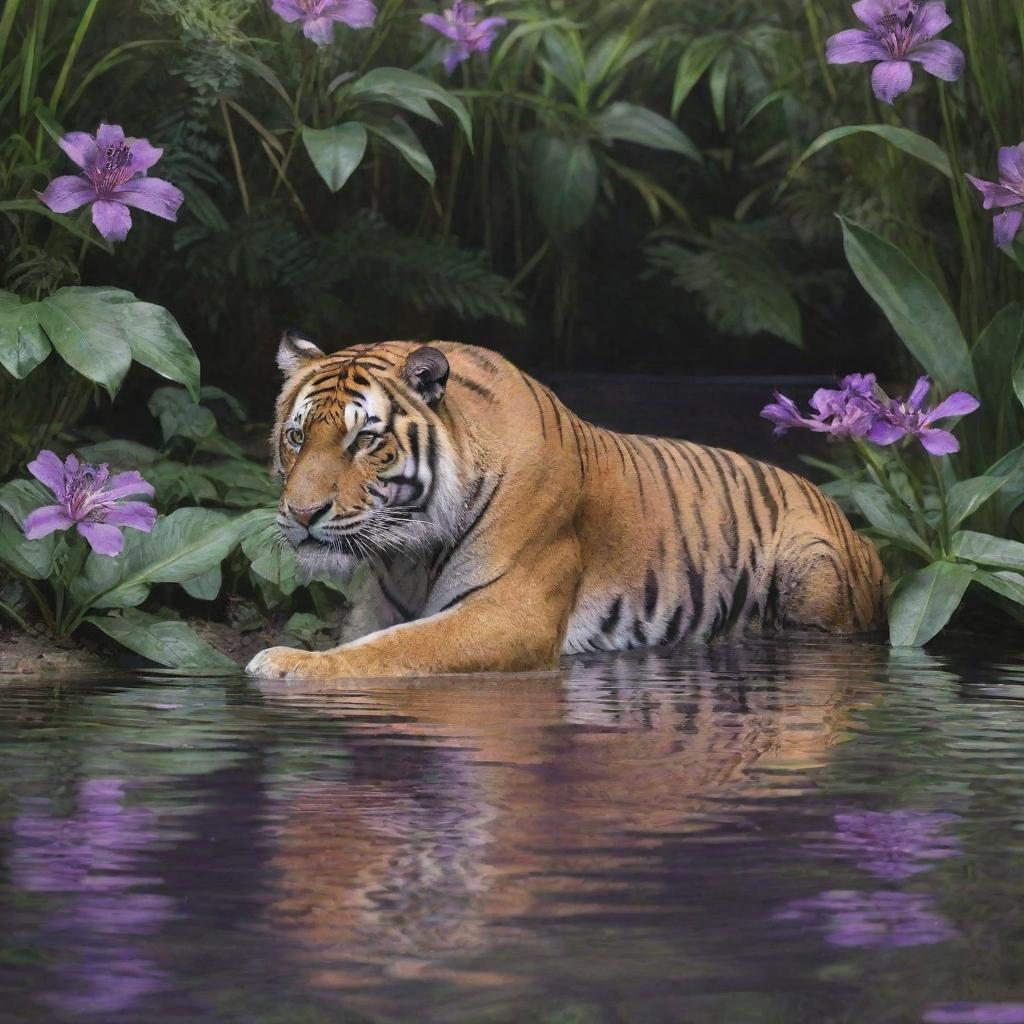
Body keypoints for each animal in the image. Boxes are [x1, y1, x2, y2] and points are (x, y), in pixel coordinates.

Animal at [243, 329, 884, 679]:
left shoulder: (508, 613)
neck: (407, 554)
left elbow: (395, 648)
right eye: (297, 437)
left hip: (810, 570)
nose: (302, 515)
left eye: (364, 441)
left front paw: (288, 664)